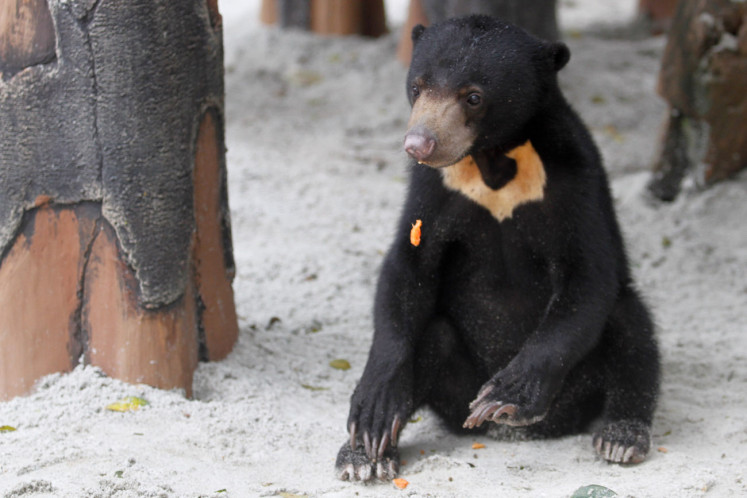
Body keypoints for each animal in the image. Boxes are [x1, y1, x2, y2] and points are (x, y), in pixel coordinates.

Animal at [338, 16, 660, 482]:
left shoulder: (576, 179)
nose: (418, 145)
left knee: (629, 322)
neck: (494, 162)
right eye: (417, 86)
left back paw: (621, 435)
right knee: (432, 334)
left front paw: (510, 393)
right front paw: (373, 409)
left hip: (578, 386)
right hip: (456, 389)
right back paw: (365, 456)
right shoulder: (434, 188)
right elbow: (409, 266)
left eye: (473, 96)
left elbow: (589, 275)